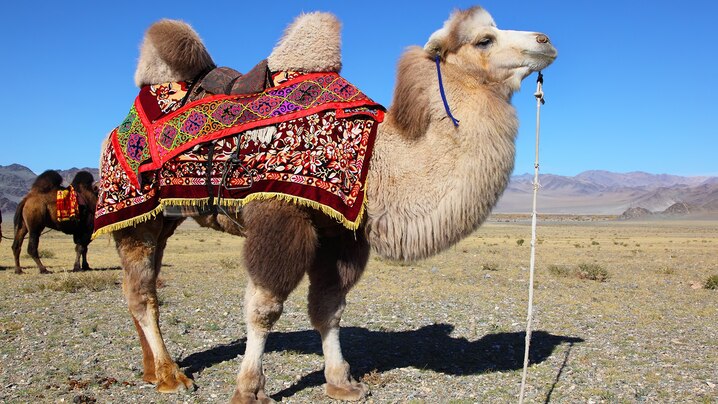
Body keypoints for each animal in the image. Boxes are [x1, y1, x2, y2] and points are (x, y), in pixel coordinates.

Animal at [106, 6, 556, 402]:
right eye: (484, 39)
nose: (545, 40)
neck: (376, 162)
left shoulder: (341, 231)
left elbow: (329, 309)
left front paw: (342, 383)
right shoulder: (281, 214)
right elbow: (264, 309)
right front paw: (249, 390)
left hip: (164, 219)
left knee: (139, 287)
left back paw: (151, 370)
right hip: (134, 213)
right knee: (142, 293)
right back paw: (171, 376)